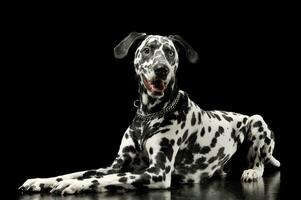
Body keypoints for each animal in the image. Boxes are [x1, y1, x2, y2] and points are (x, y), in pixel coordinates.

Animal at [19, 32, 280, 195]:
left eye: (170, 52)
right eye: (147, 50)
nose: (161, 69)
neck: (150, 115)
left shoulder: (157, 173)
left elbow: (99, 179)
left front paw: (74, 186)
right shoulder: (116, 165)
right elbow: (76, 172)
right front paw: (41, 181)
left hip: (256, 121)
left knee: (260, 164)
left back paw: (251, 171)